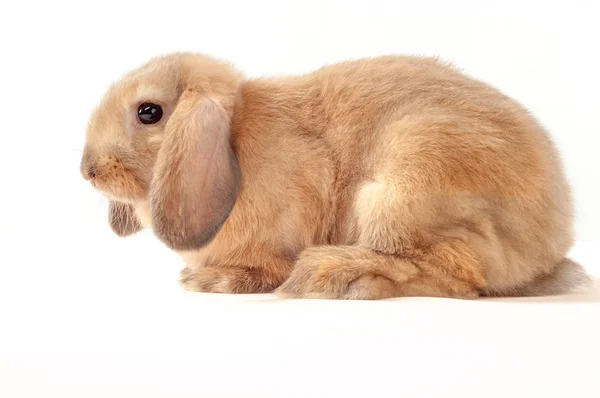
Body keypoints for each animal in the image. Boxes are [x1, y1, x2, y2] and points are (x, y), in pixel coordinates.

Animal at [79, 52, 592, 298]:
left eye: (149, 112)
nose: (87, 171)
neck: (235, 140)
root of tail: (548, 242)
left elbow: (265, 269)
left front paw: (210, 281)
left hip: (399, 191)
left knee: (453, 275)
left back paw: (336, 277)